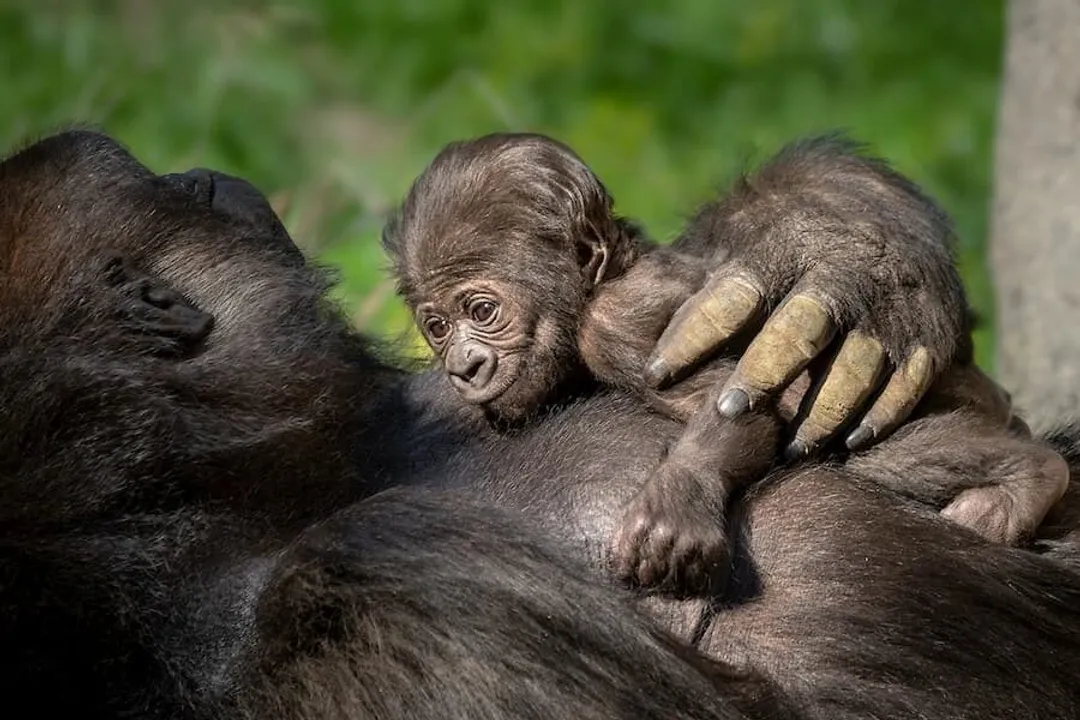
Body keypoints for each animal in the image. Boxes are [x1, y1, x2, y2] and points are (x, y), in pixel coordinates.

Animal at [383, 132, 1069, 595]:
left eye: (482, 310)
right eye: (436, 328)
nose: (464, 366)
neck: (594, 291)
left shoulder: (619, 326)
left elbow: (755, 404)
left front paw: (680, 499)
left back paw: (1031, 475)